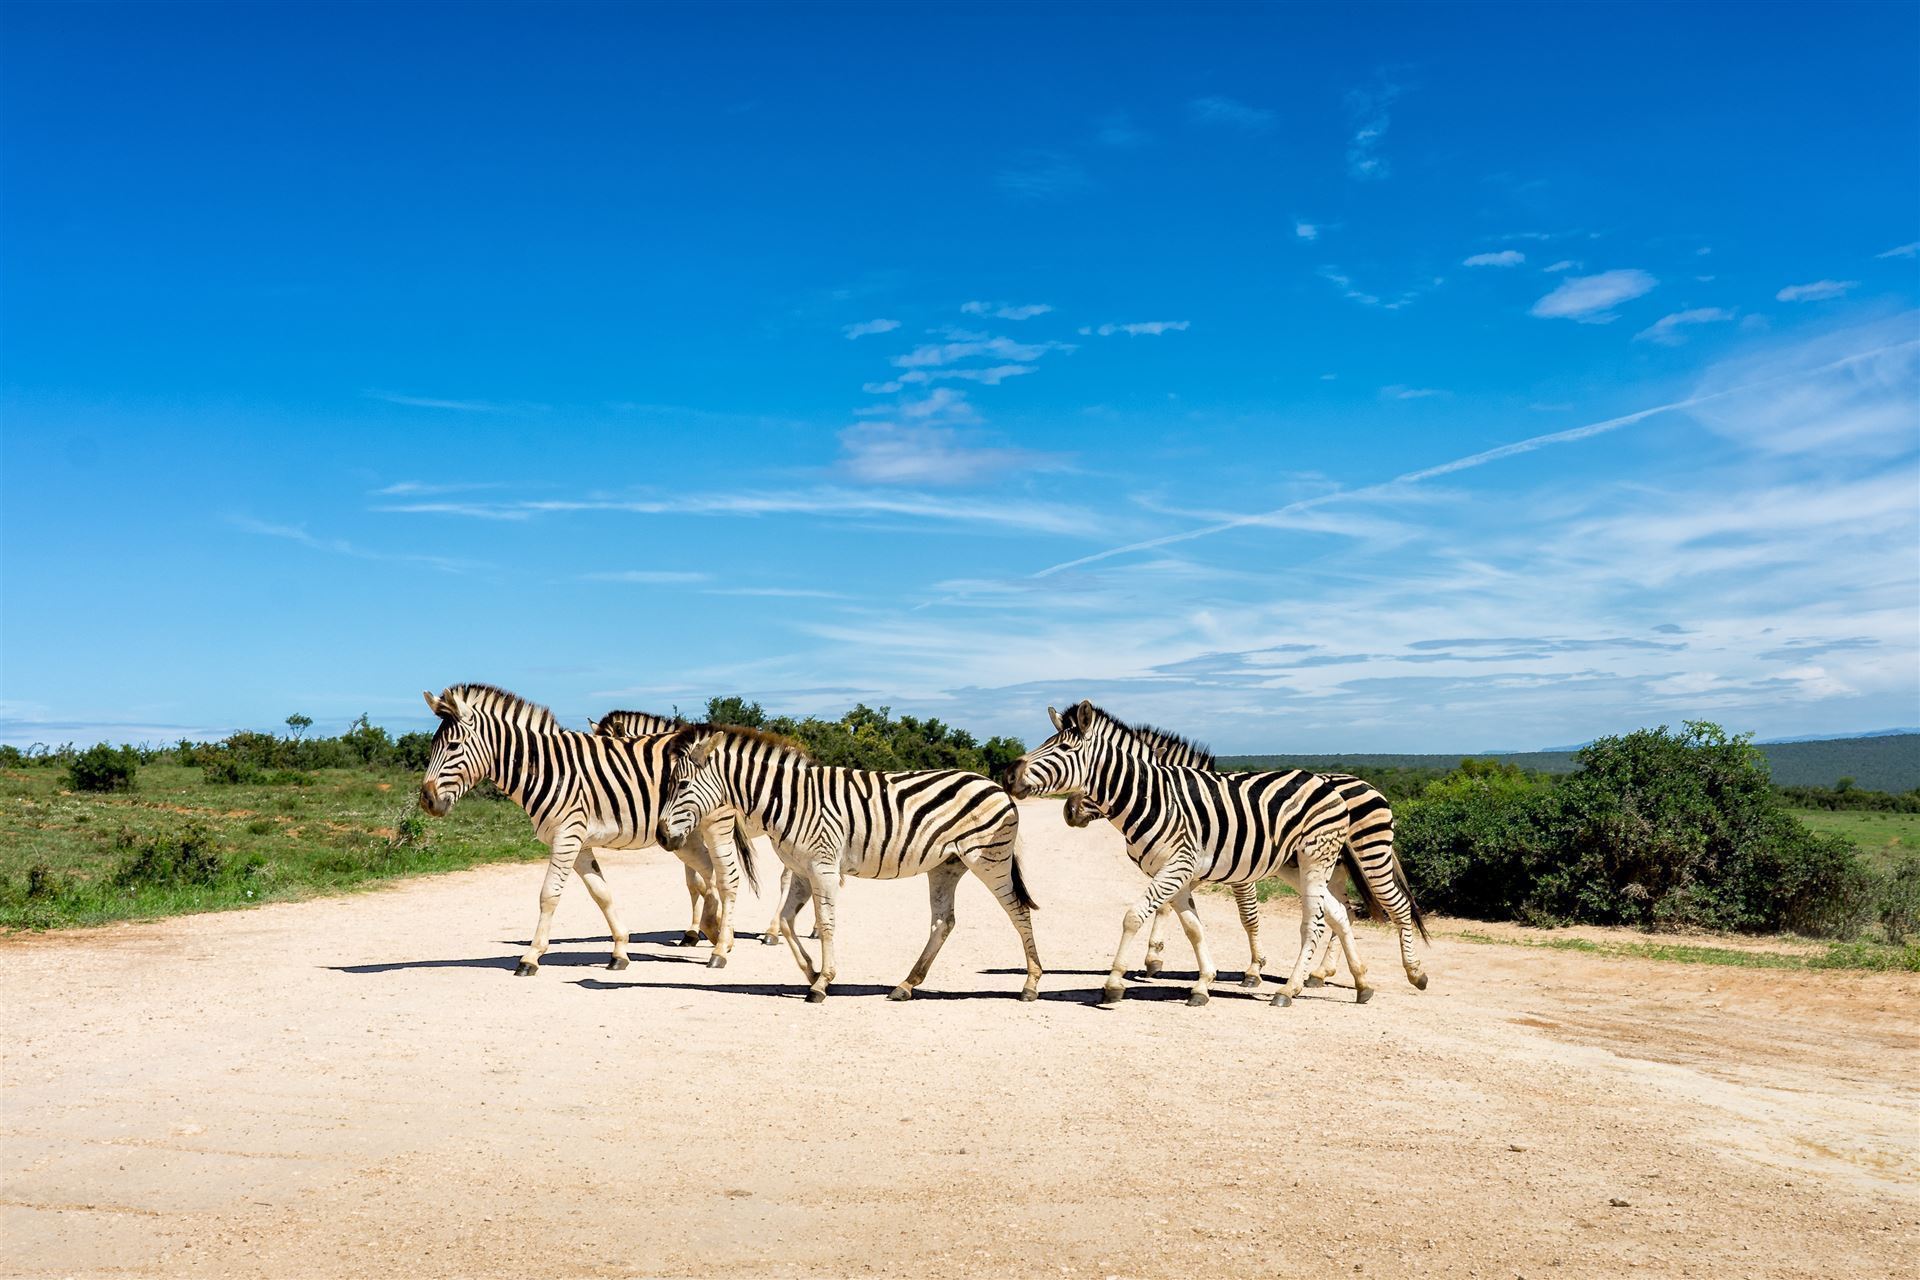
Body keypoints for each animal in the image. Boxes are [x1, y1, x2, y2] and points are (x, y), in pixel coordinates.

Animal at [655, 725, 1043, 1003]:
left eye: (682, 784)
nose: (660, 836)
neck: (789, 799)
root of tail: (993, 784)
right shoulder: (801, 870)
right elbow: (786, 922)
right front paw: (811, 973)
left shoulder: (823, 866)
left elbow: (826, 925)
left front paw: (821, 984)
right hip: (946, 866)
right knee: (943, 922)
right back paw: (906, 985)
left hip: (988, 858)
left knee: (1018, 911)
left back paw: (1030, 984)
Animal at [1010, 700, 1427, 1007]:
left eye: (1064, 748)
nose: (1010, 775)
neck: (1153, 795)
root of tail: (1335, 785)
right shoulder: (1175, 870)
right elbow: (1192, 926)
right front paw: (1198, 982)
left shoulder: (1192, 867)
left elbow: (1139, 915)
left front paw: (1115, 982)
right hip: (1305, 865)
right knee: (1341, 913)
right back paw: (1353, 981)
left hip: (1353, 854)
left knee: (1362, 913)